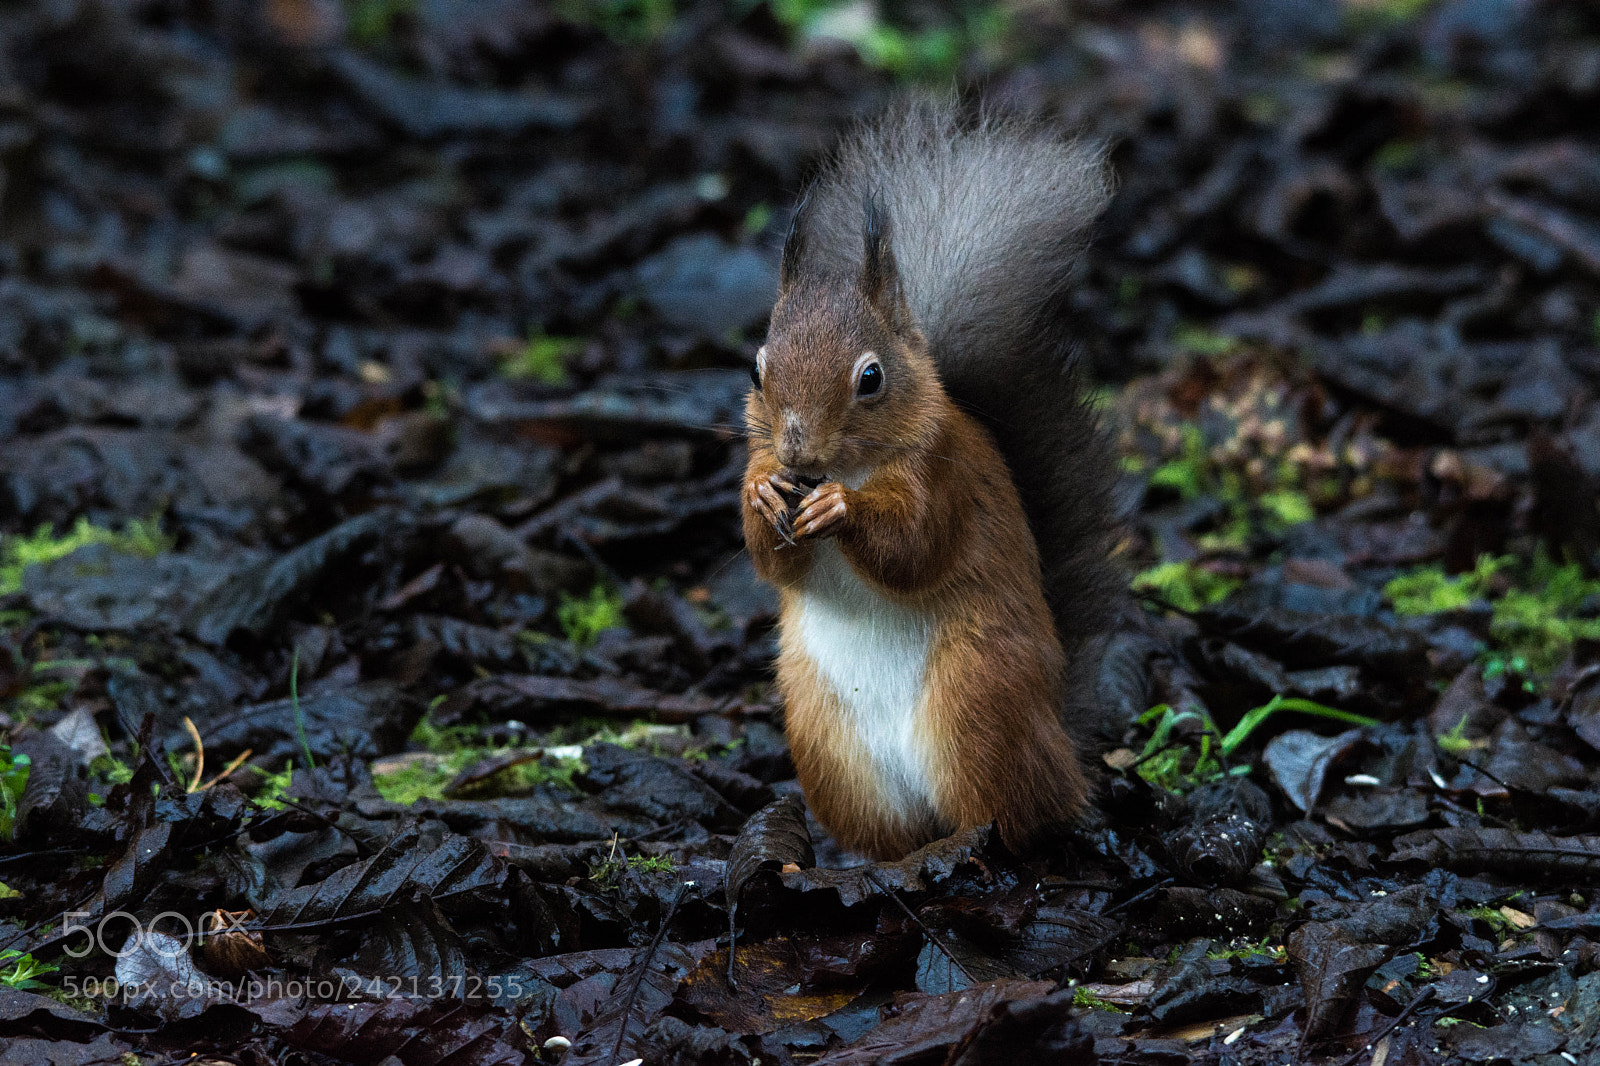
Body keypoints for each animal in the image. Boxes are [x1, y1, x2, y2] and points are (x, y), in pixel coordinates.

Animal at [741, 102, 1122, 861]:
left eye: (870, 378)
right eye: (757, 369)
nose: (798, 453)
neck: (851, 465)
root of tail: (1063, 746)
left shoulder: (944, 477)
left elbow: (915, 547)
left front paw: (841, 509)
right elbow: (773, 561)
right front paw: (765, 496)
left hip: (978, 699)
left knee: (1011, 812)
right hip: (827, 740)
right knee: (890, 831)